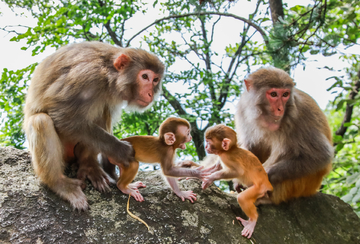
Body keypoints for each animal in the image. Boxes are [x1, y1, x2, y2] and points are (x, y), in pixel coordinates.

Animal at [24, 41, 166, 210]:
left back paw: (89, 165)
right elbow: (63, 117)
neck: (108, 72)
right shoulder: (86, 76)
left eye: (155, 79)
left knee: (102, 110)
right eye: (145, 76)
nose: (150, 94)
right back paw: (61, 184)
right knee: (41, 121)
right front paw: (122, 151)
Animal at [235, 66, 334, 204]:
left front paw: (264, 174)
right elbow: (251, 146)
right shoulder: (243, 109)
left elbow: (321, 155)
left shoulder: (300, 114)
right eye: (273, 94)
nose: (280, 109)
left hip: (301, 185)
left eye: (285, 94)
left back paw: (265, 198)